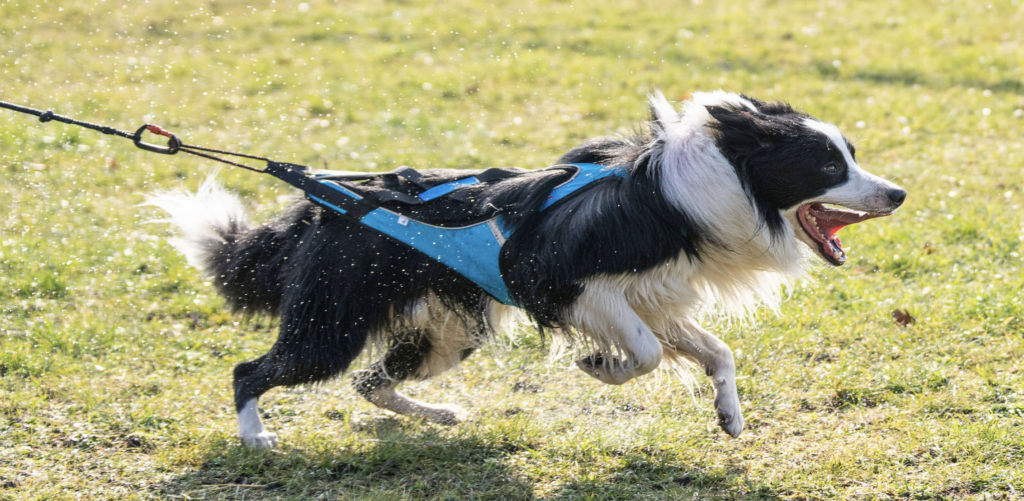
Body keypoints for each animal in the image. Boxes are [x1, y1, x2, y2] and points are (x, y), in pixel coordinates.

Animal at [149, 91, 905, 446]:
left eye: (852, 153)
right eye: (828, 166)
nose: (898, 193)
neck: (686, 193)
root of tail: (323, 207)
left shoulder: (654, 296)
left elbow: (714, 351)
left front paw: (730, 416)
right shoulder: (568, 283)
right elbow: (643, 353)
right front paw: (599, 367)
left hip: (452, 332)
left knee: (371, 379)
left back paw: (439, 412)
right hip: (332, 322)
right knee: (253, 370)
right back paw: (256, 436)